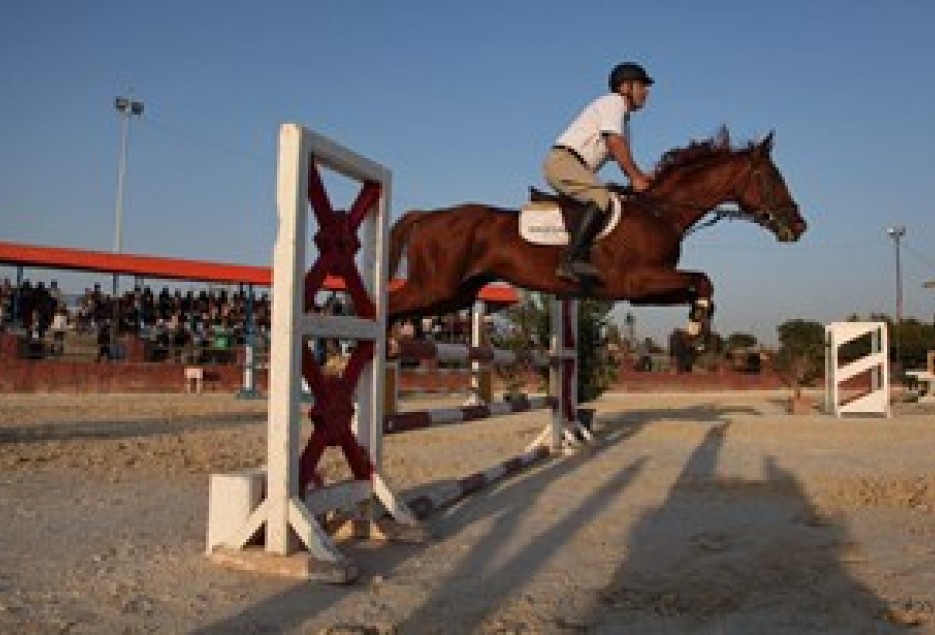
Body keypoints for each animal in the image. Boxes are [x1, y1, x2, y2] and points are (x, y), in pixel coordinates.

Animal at [384, 128, 808, 338]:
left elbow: (700, 286)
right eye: (772, 177)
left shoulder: (646, 293)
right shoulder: (642, 280)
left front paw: (698, 327)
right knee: (390, 305)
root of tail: (429, 216)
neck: (662, 211)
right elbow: (703, 279)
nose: (800, 226)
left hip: (454, 293)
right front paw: (694, 331)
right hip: (435, 286)